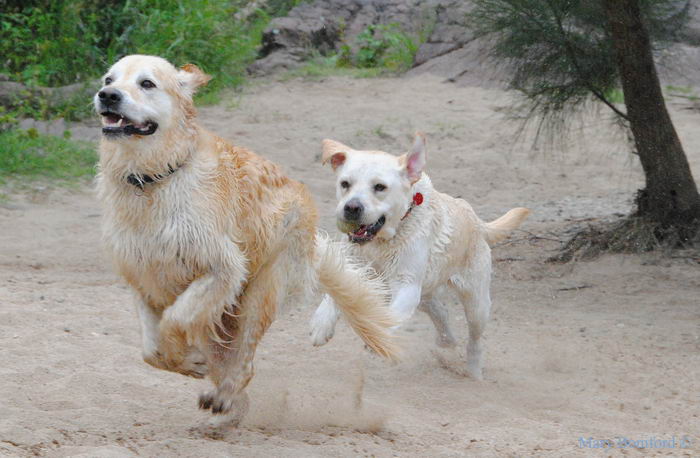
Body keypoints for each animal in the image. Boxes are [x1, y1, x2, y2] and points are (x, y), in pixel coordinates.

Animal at [308, 133, 528, 380]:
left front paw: (377, 336)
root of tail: (477, 221)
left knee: (475, 341)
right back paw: (446, 341)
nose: (351, 208)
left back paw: (474, 372)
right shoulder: (351, 268)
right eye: (345, 184)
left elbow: (389, 317)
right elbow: (333, 294)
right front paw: (321, 324)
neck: (380, 244)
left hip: (476, 304)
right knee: (440, 311)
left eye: (380, 187)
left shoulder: (406, 286)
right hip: (426, 293)